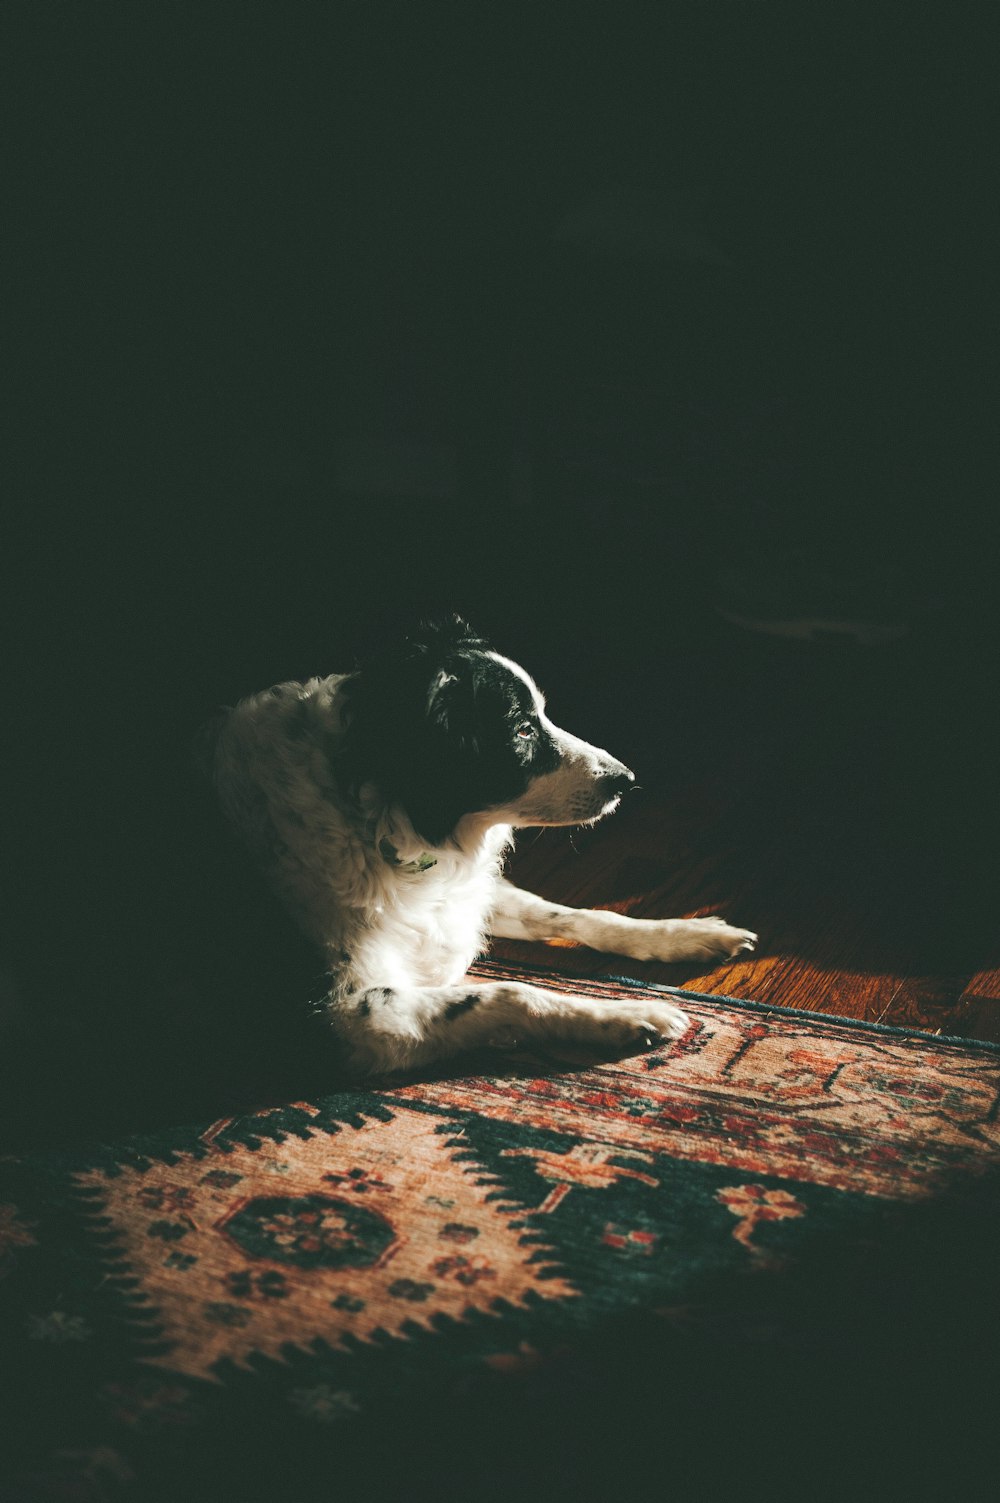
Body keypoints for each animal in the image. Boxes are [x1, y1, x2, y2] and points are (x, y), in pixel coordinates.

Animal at [210, 616, 757, 1076]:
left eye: (543, 716)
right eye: (522, 729)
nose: (626, 780)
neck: (379, 822)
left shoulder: (463, 896)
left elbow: (579, 914)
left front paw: (685, 934)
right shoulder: (354, 1017)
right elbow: (513, 993)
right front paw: (625, 1015)